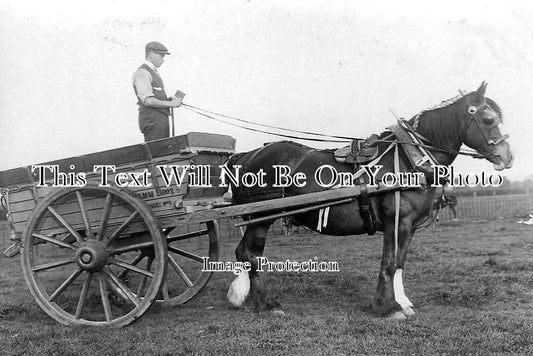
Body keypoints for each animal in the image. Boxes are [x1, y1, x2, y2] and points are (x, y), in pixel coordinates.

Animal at [224, 83, 512, 320]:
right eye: (488, 119)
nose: (507, 157)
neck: (410, 159)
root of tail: (245, 156)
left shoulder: (409, 227)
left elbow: (400, 263)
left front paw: (402, 302)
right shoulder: (397, 222)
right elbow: (389, 263)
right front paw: (388, 307)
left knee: (243, 252)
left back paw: (241, 296)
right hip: (261, 219)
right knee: (250, 254)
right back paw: (267, 304)